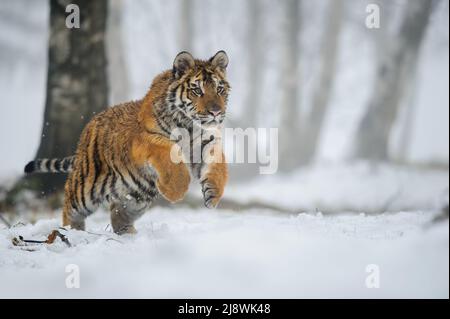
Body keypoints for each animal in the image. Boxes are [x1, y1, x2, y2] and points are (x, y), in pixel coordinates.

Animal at [23, 50, 229, 235]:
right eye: (197, 90)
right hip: (86, 188)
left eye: (219, 89)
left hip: (136, 195)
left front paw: (213, 195)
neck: (189, 124)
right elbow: (171, 159)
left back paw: (128, 235)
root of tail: (88, 127)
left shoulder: (204, 143)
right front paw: (174, 193)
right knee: (69, 205)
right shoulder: (148, 140)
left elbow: (218, 166)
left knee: (117, 212)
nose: (216, 112)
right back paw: (72, 232)